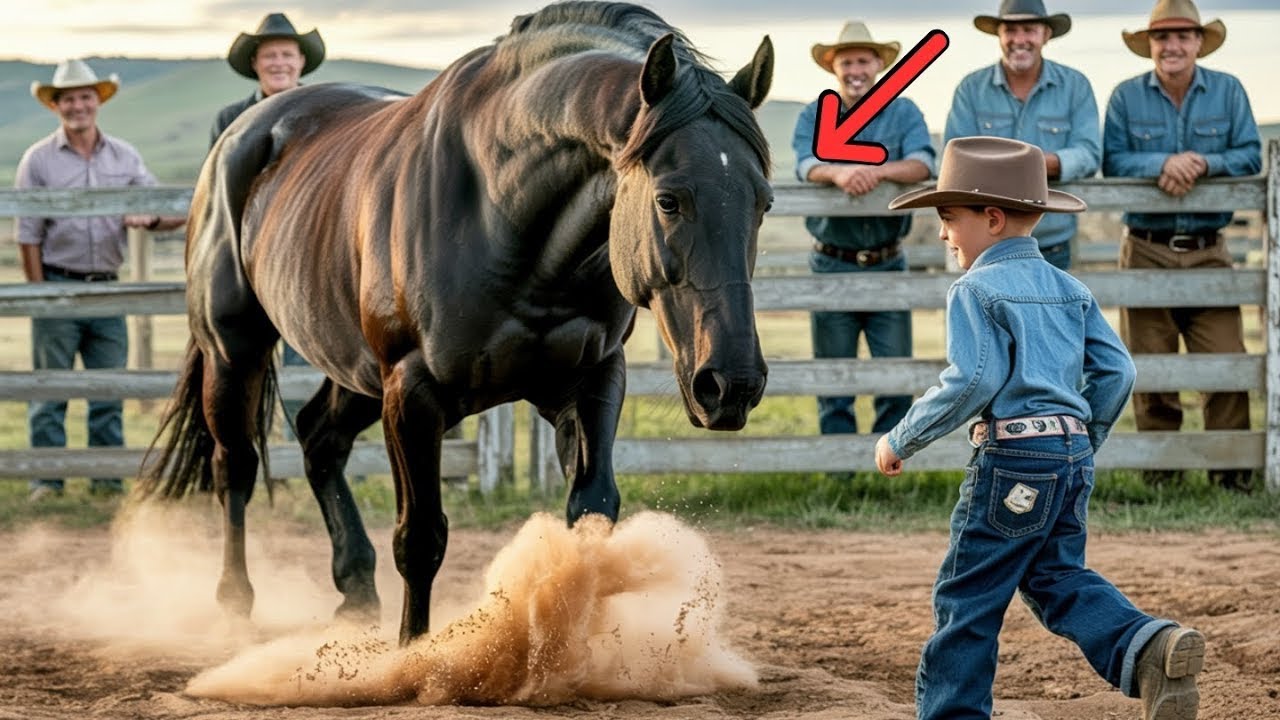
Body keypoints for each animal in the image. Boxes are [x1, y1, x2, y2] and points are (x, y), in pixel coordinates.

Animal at [136, 1, 773, 646]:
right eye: (668, 200)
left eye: (763, 203)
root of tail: (247, 131)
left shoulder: (591, 381)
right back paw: (235, 601)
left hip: (354, 370)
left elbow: (590, 518)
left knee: (320, 439)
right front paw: (412, 654)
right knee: (235, 465)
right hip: (235, 351)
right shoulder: (412, 392)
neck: (502, 208)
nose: (731, 385)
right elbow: (420, 538)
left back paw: (356, 587)